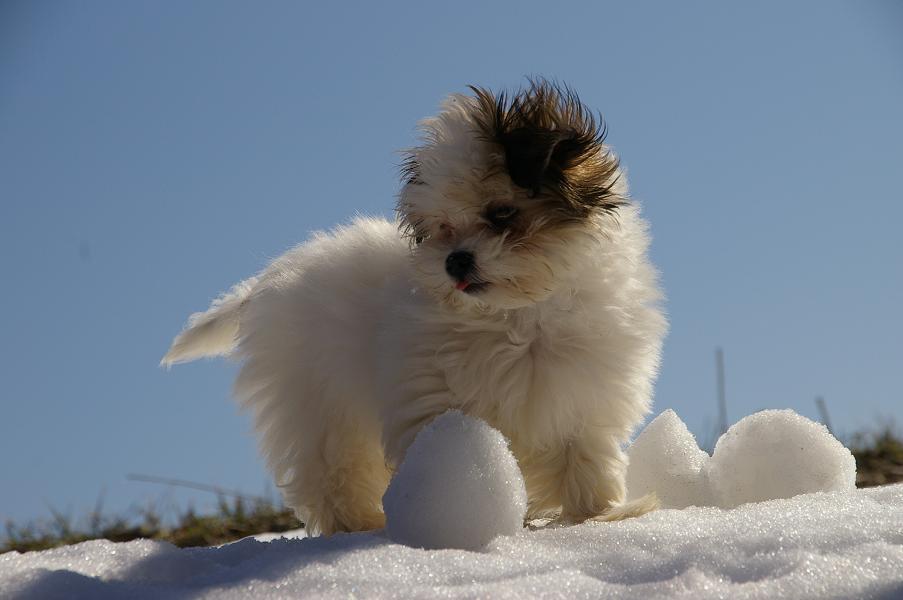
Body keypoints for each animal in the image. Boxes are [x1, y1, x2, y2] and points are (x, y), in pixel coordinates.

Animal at [166, 79, 668, 536]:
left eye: (501, 213)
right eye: (442, 227)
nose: (455, 260)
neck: (518, 316)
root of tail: (269, 281)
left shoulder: (583, 394)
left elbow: (584, 456)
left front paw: (598, 514)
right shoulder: (430, 388)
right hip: (317, 397)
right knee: (333, 469)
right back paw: (358, 524)